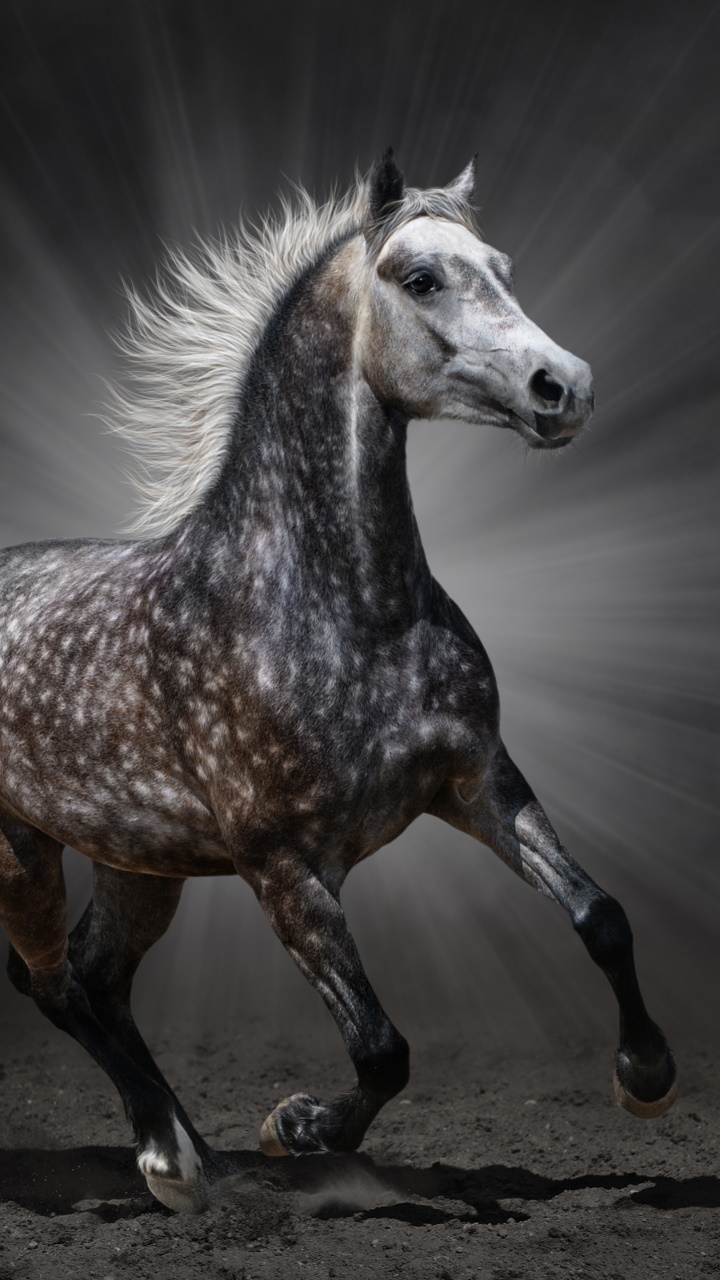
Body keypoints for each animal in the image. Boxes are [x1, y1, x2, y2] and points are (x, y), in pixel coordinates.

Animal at [0, 151, 678, 1214]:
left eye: (502, 265)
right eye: (422, 279)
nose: (564, 387)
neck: (343, 610)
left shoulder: (479, 783)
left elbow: (601, 917)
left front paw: (646, 1078)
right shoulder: (285, 869)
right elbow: (381, 1049)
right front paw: (298, 1127)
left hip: (137, 861)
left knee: (95, 979)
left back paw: (195, 1156)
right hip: (22, 849)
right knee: (53, 984)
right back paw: (174, 1159)